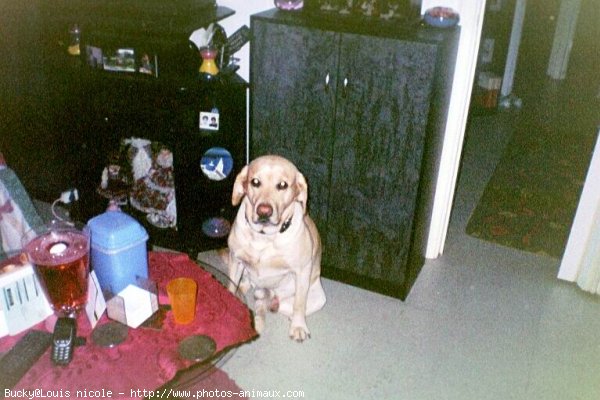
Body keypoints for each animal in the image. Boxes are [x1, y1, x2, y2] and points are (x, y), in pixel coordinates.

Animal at [226, 155, 328, 342]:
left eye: (282, 185)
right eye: (255, 182)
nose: (264, 211)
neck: (264, 237)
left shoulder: (302, 271)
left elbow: (298, 304)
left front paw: (298, 327)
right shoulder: (236, 260)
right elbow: (231, 286)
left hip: (318, 297)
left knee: (280, 304)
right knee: (246, 286)